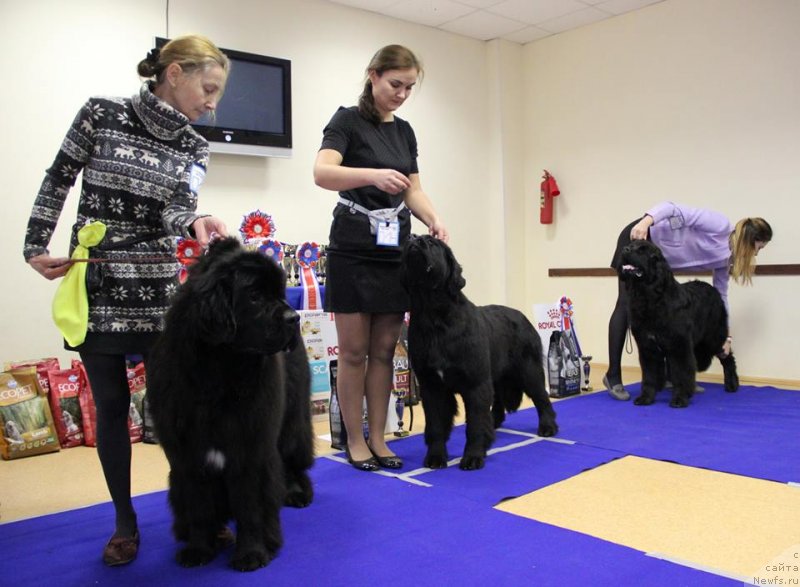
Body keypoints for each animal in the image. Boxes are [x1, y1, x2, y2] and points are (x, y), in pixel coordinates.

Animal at [147, 237, 312, 572]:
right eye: (254, 296)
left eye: (279, 292)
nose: (293, 318)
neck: (218, 374)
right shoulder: (187, 454)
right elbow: (198, 506)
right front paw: (198, 549)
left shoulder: (250, 449)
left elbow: (250, 506)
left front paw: (252, 553)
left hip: (292, 421)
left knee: (291, 459)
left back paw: (296, 492)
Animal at [404, 237, 560, 470]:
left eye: (433, 244)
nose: (415, 239)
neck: (434, 317)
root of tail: (522, 316)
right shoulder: (432, 385)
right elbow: (436, 424)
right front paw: (435, 457)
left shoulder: (475, 382)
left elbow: (475, 423)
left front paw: (473, 457)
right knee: (497, 400)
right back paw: (494, 423)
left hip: (528, 370)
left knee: (542, 398)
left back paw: (548, 426)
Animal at [620, 239, 736, 408]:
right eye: (630, 245)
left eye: (642, 250)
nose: (625, 249)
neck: (650, 297)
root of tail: (714, 290)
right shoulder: (647, 347)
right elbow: (649, 375)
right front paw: (646, 397)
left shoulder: (679, 346)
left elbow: (681, 372)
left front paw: (680, 398)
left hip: (713, 338)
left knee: (728, 358)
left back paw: (732, 385)